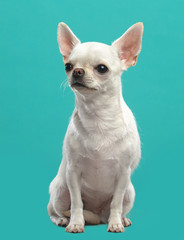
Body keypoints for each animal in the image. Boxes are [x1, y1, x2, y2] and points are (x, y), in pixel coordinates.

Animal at [47, 22, 142, 232]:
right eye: (68, 66)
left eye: (102, 68)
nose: (77, 71)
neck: (98, 117)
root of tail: (96, 215)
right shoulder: (73, 173)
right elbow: (76, 202)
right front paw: (75, 223)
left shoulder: (123, 174)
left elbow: (116, 202)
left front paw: (115, 223)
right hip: (59, 190)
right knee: (53, 209)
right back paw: (62, 219)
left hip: (130, 192)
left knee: (116, 208)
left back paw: (121, 219)